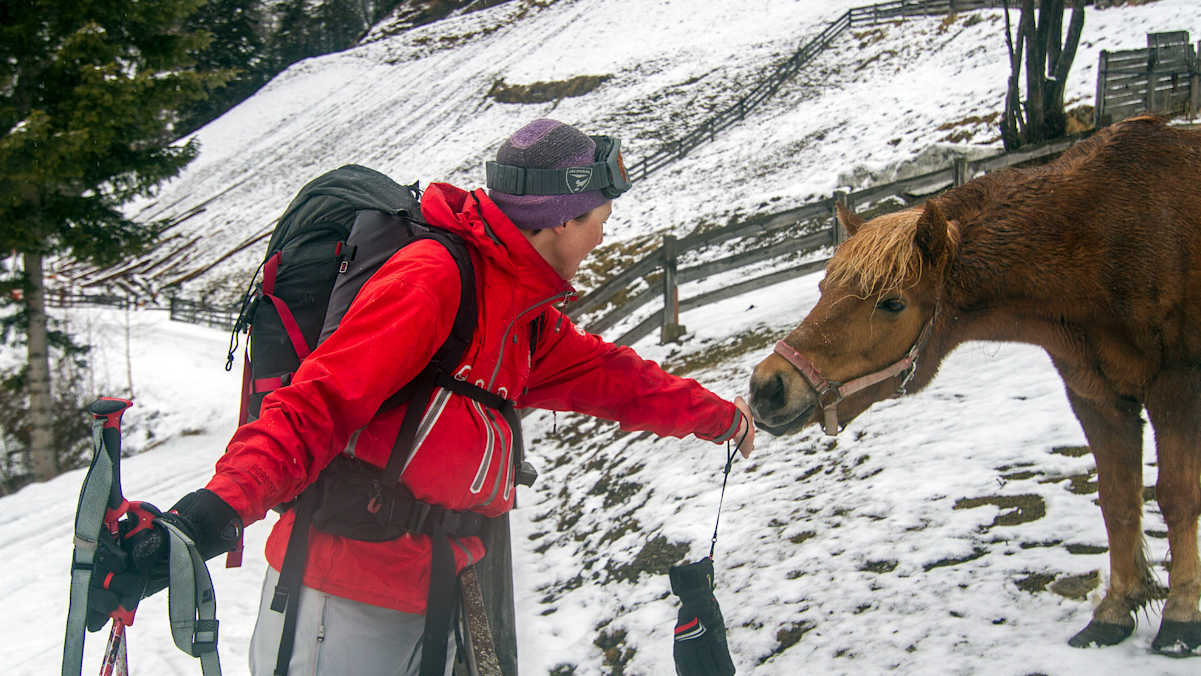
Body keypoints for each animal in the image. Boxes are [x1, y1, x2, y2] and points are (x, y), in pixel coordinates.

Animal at [747, 116, 1201, 655]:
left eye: (893, 302)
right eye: (822, 288)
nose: (767, 387)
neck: (1106, 244)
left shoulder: (1177, 387)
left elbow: (1177, 497)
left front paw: (1181, 616)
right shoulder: (1097, 398)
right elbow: (1119, 502)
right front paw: (1114, 611)